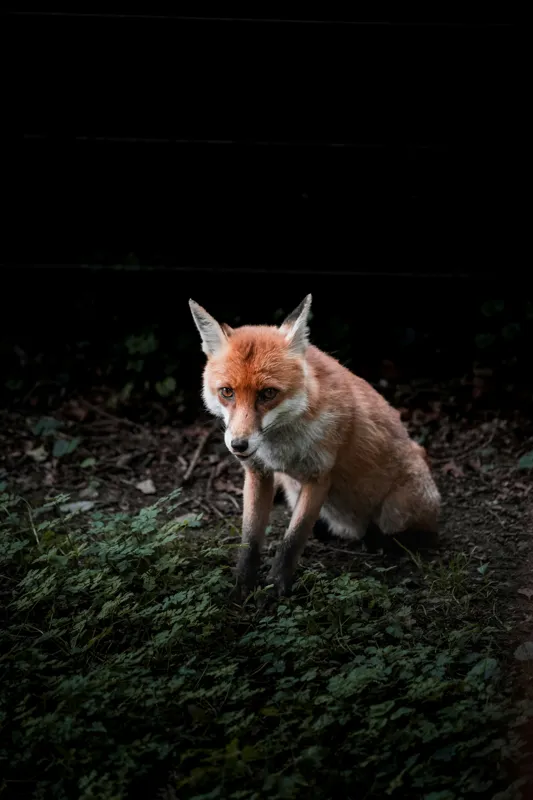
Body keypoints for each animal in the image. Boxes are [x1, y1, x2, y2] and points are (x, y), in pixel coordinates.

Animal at [189, 294, 441, 596]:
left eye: (268, 393)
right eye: (227, 392)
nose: (239, 445)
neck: (281, 449)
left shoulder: (319, 476)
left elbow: (293, 539)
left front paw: (276, 587)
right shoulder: (258, 473)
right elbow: (250, 539)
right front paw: (242, 585)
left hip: (398, 510)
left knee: (410, 534)